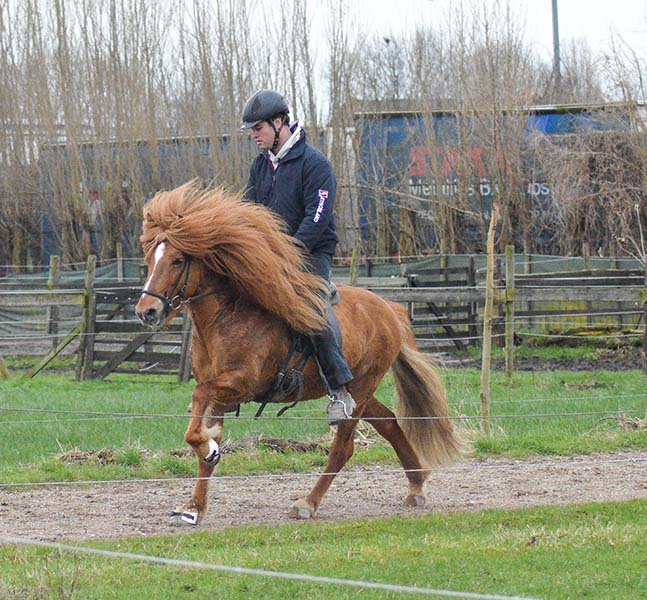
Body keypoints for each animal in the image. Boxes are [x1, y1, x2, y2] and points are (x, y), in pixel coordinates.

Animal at [134, 182, 464, 524]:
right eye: (151, 258)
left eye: (177, 260)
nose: (147, 310)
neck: (227, 318)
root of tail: (389, 309)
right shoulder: (219, 395)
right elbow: (201, 440)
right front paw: (194, 506)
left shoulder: (238, 385)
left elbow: (199, 410)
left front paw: (208, 448)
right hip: (358, 391)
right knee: (388, 423)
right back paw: (416, 486)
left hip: (361, 390)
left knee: (343, 448)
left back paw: (309, 502)